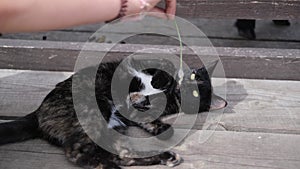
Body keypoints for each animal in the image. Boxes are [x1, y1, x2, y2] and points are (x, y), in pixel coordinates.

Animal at [0, 57, 225, 168]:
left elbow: (146, 116)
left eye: (195, 94)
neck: (168, 94)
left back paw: (165, 157)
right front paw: (161, 81)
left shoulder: (136, 111)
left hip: (106, 125)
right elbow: (163, 68)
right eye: (193, 76)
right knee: (79, 152)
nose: (183, 85)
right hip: (95, 110)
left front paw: (162, 128)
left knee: (109, 153)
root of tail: (38, 112)